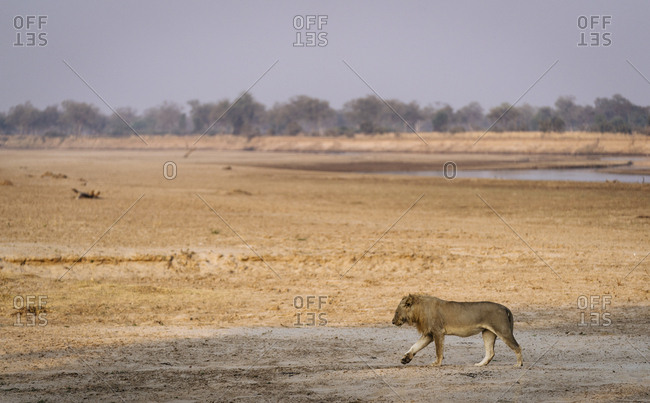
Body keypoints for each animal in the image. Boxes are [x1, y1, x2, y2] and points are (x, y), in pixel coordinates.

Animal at [392, 294, 523, 367]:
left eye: (396, 312)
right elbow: (415, 346)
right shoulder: (429, 334)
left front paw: (437, 364)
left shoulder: (438, 332)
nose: (392, 322)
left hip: (503, 331)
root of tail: (505, 307)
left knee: (517, 346)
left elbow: (438, 351)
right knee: (490, 352)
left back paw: (518, 364)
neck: (419, 310)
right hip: (488, 333)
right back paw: (480, 365)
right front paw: (405, 359)